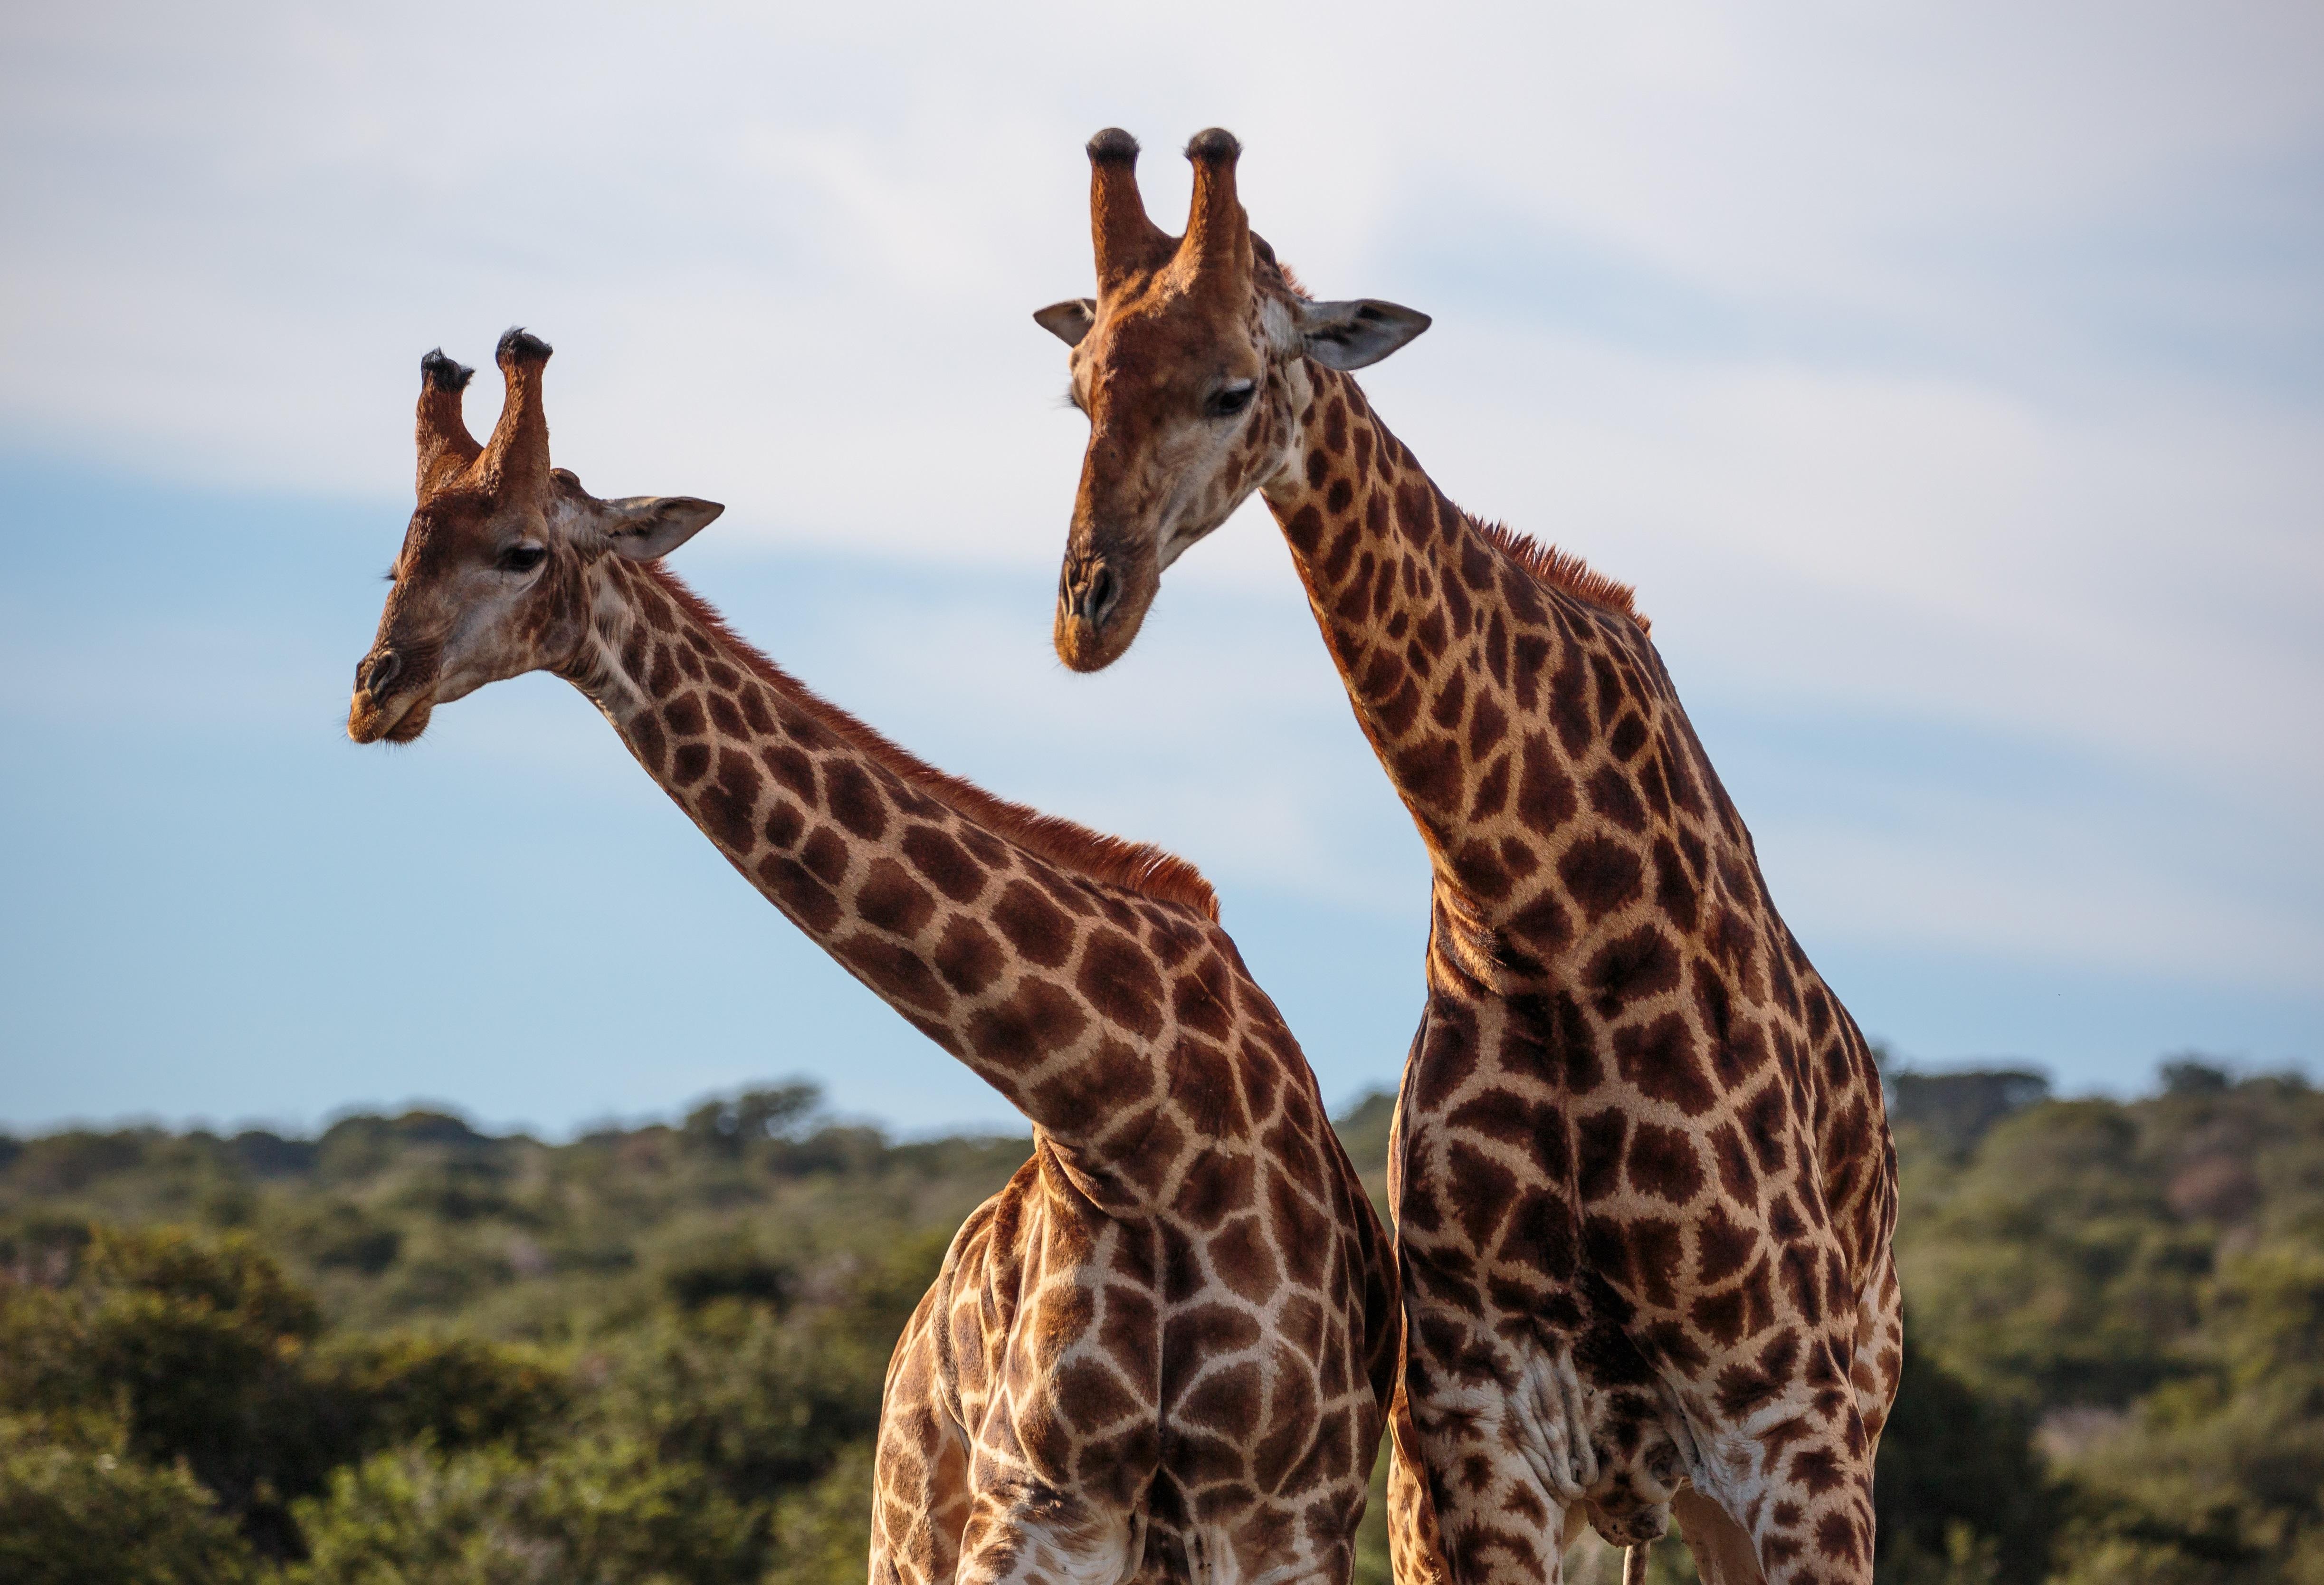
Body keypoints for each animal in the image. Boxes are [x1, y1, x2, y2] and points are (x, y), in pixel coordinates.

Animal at [342, 330, 1394, 1580]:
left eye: (521, 551)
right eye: (396, 561)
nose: (376, 692)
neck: (1138, 1130)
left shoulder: (1278, 1516)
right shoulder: (1034, 1509)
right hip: (905, 1524)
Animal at [1027, 132, 1896, 1580]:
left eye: (1232, 385)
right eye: (1077, 387)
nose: (1088, 609)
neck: (1548, 917)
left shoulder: (1788, 1423)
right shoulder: (1473, 1429)